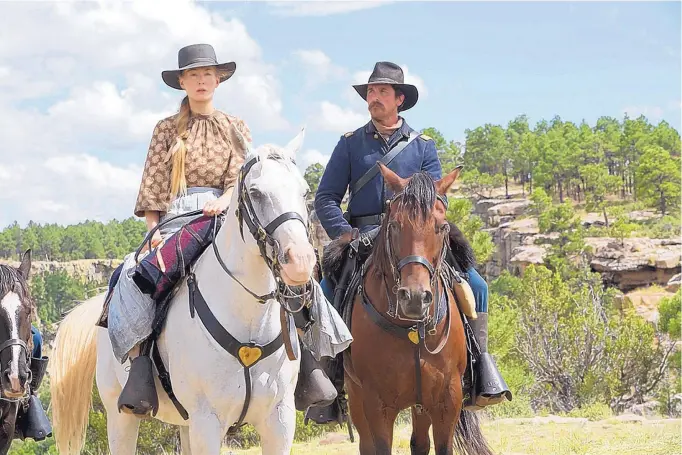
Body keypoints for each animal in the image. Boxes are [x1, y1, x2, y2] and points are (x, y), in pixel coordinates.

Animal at [47, 129, 318, 455]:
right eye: (255, 192)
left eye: (304, 192)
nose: (300, 261)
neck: (249, 321)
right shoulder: (207, 422)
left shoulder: (279, 420)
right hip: (120, 415)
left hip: (185, 424)